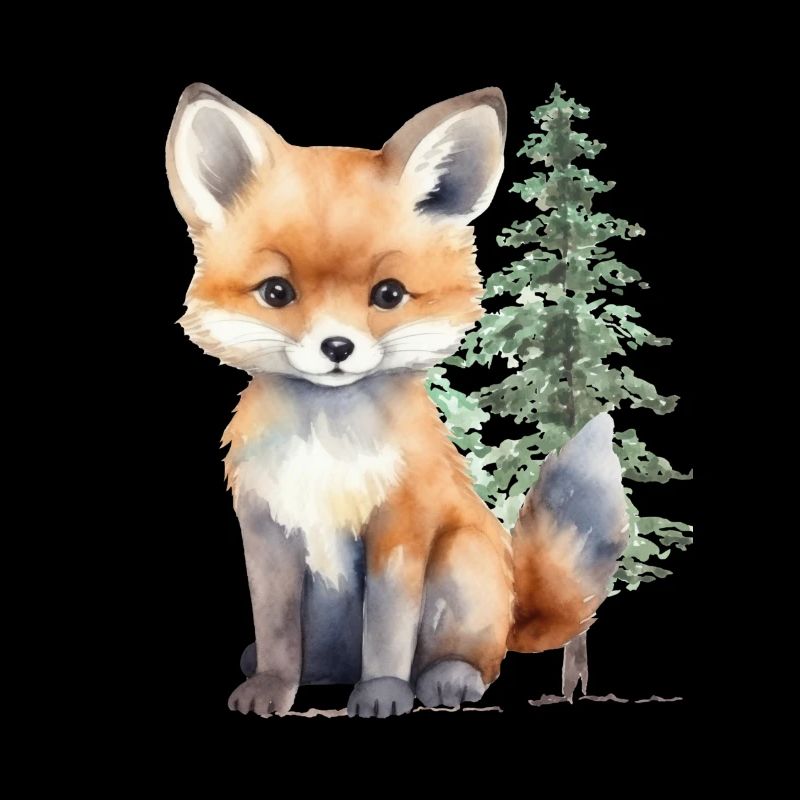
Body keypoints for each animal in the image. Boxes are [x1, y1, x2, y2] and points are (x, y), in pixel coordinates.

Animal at [166, 83, 629, 717]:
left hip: (461, 562)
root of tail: (514, 606)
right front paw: (271, 686)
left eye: (388, 295)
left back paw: (447, 679)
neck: (326, 446)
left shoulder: (400, 528)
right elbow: (277, 629)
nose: (337, 347)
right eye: (276, 292)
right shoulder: (267, 531)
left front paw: (383, 693)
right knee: (316, 657)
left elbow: (388, 631)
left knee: (478, 660)